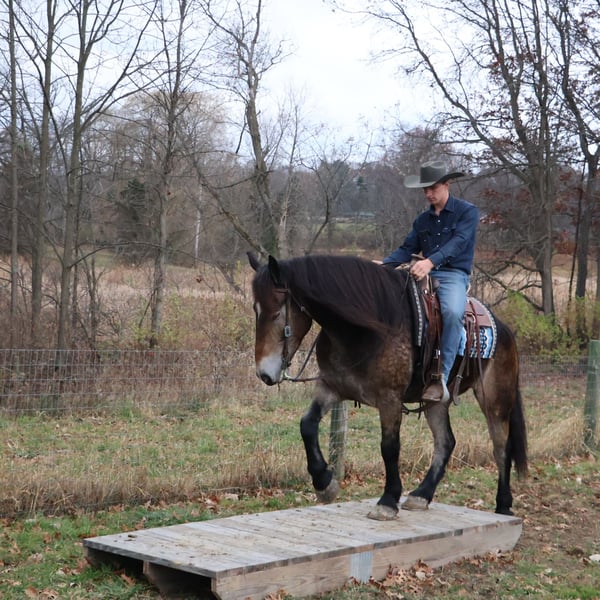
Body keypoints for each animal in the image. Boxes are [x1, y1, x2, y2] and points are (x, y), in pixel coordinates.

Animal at [248, 253, 527, 520]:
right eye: (255, 310)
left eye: (276, 314)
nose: (264, 373)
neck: (364, 329)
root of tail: (503, 329)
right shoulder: (332, 388)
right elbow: (307, 425)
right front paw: (324, 482)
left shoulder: (390, 399)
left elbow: (389, 447)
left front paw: (388, 500)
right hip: (436, 402)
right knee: (446, 442)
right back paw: (422, 495)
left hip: (495, 401)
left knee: (501, 448)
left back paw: (503, 504)